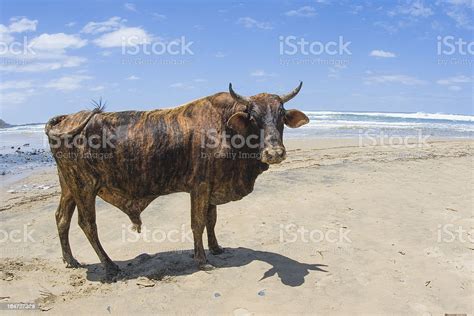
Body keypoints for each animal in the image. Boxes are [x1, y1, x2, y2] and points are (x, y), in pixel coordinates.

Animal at [46, 82, 310, 278]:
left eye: (282, 115)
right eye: (253, 117)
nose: (274, 153)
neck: (226, 128)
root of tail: (68, 118)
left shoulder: (213, 186)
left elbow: (212, 220)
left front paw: (216, 248)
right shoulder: (200, 186)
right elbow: (198, 223)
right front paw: (202, 260)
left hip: (69, 186)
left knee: (61, 219)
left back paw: (70, 260)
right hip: (84, 187)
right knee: (87, 224)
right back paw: (109, 266)